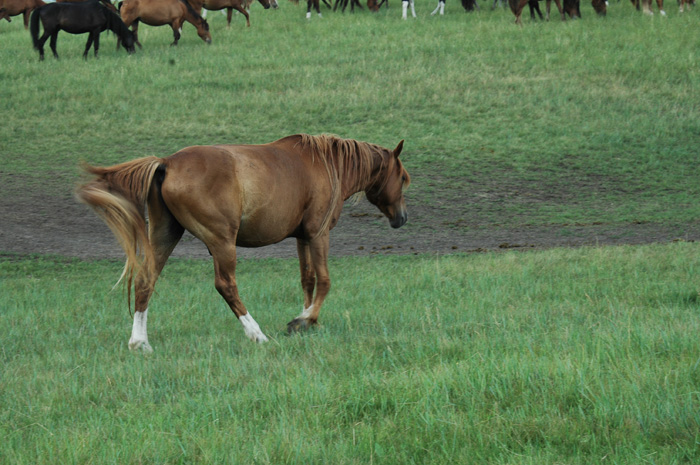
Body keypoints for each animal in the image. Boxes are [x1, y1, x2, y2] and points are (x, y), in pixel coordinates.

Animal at [76, 132, 410, 350]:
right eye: (404, 178)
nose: (402, 218)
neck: (327, 163)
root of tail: (166, 163)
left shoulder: (302, 238)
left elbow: (308, 280)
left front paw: (307, 319)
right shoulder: (318, 234)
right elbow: (325, 281)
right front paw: (304, 320)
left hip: (164, 236)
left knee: (146, 281)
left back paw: (139, 342)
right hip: (222, 242)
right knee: (226, 285)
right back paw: (257, 334)